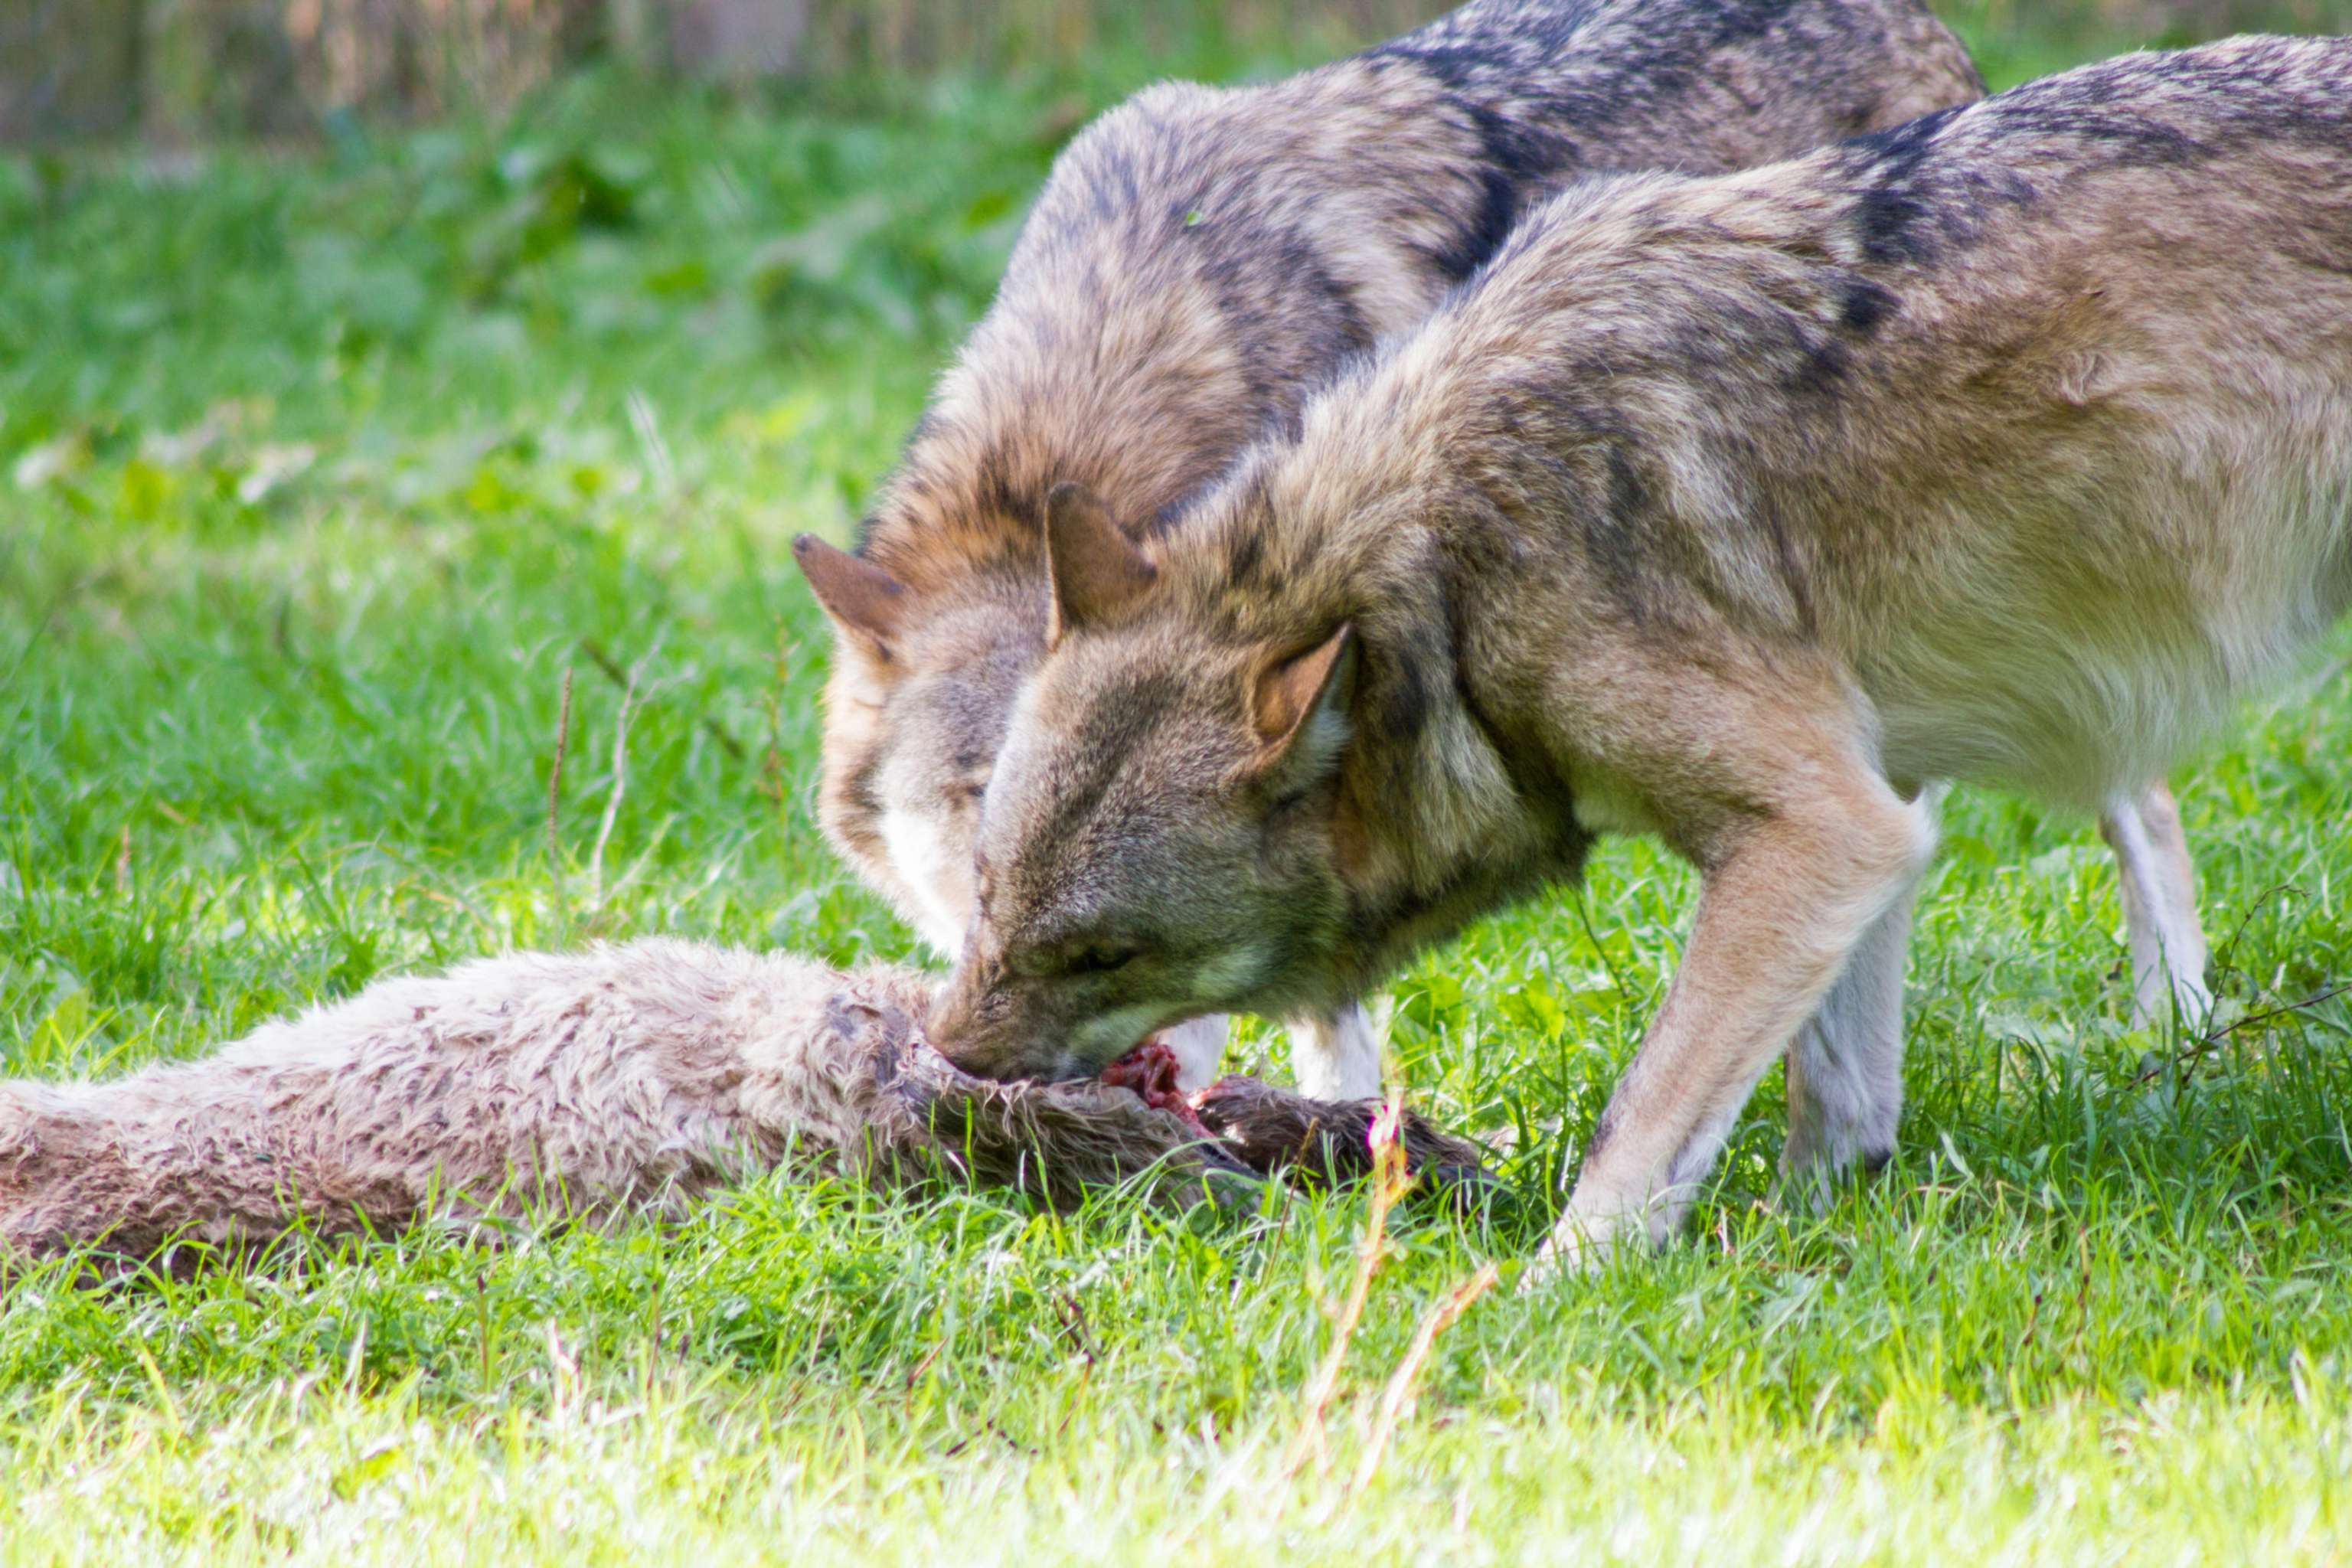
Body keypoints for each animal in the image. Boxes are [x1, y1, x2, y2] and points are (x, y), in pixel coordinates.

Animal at [926, 36, 2352, 1268]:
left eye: (1105, 954)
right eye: (984, 890)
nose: (945, 1067)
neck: (1447, 572)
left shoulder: (1819, 830)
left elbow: (1643, 1114)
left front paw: (1557, 1291)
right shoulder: (1871, 814)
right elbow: (1837, 1095)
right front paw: (1812, 1235)